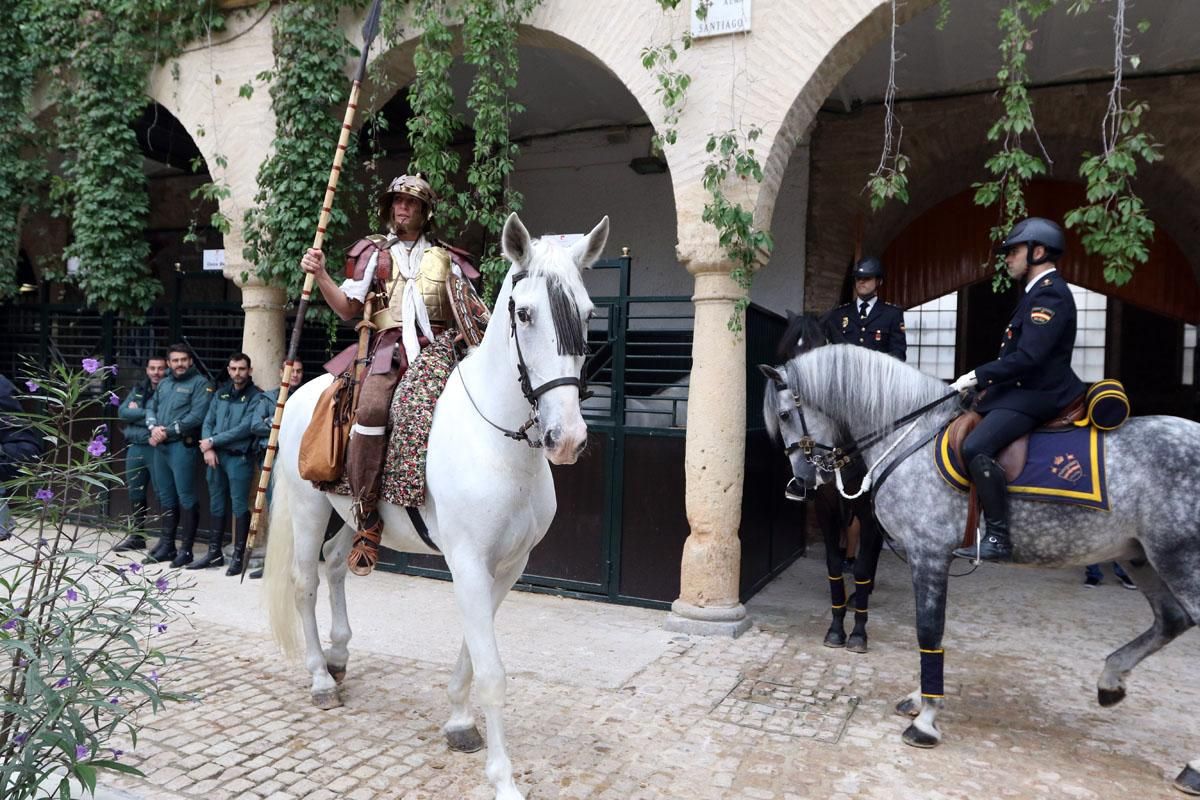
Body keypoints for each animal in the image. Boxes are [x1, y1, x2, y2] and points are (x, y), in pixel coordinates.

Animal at [268, 212, 614, 800]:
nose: (565, 438)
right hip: (308, 508)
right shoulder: (468, 563)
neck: (500, 444)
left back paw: (339, 658)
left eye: (588, 314)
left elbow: (474, 653)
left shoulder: (507, 566)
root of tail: (302, 392)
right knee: (305, 582)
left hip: (353, 515)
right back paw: (318, 677)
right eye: (525, 313)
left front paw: (457, 722)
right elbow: (492, 671)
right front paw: (503, 778)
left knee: (336, 565)